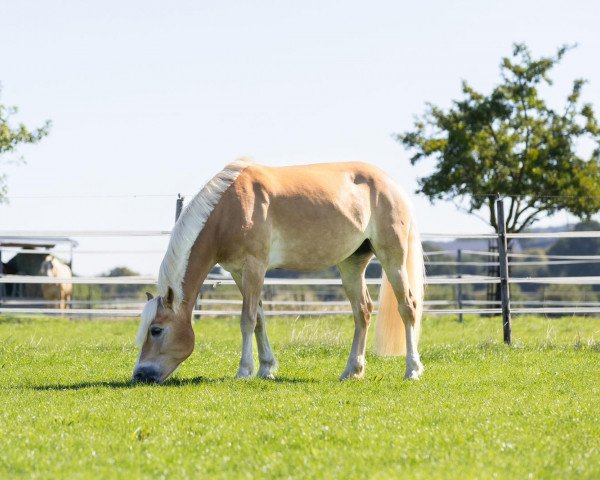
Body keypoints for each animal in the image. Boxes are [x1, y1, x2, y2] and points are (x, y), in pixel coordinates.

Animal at [135, 159, 426, 384]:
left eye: (156, 330)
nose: (139, 375)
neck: (229, 209)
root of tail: (391, 184)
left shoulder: (254, 267)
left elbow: (247, 319)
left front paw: (244, 371)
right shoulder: (239, 273)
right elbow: (260, 319)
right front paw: (266, 369)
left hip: (392, 258)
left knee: (408, 307)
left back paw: (412, 371)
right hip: (352, 264)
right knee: (362, 311)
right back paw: (352, 371)